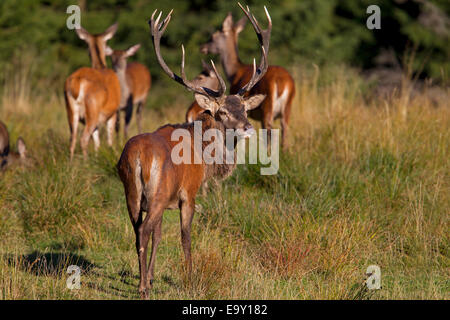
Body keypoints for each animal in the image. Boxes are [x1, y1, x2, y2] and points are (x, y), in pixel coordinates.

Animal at [64, 23, 121, 159]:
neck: (101, 66)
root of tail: (77, 80)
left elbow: (97, 142)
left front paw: (96, 157)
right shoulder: (112, 113)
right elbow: (109, 141)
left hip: (71, 110)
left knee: (72, 139)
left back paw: (71, 162)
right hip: (93, 109)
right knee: (83, 139)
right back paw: (85, 161)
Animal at [117, 5, 270, 300]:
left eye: (244, 109)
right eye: (223, 112)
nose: (247, 128)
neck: (205, 157)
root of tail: (139, 158)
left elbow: (160, 236)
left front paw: (152, 276)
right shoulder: (188, 192)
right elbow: (185, 236)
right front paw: (190, 279)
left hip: (133, 192)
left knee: (138, 229)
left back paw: (144, 282)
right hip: (157, 191)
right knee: (143, 231)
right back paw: (142, 289)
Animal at [200, 3, 296, 149]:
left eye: (213, 36)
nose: (203, 47)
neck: (234, 72)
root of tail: (281, 81)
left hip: (267, 107)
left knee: (269, 128)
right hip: (288, 106)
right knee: (285, 127)